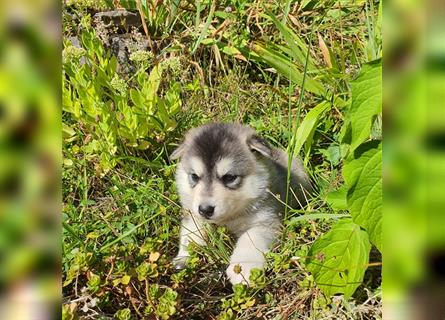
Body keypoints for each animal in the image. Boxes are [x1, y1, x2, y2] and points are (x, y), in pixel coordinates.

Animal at [168, 123, 310, 284]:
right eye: (194, 176)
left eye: (229, 177)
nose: (205, 210)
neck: (229, 218)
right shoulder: (193, 214)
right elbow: (191, 232)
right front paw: (184, 256)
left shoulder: (266, 221)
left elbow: (250, 237)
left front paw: (243, 268)